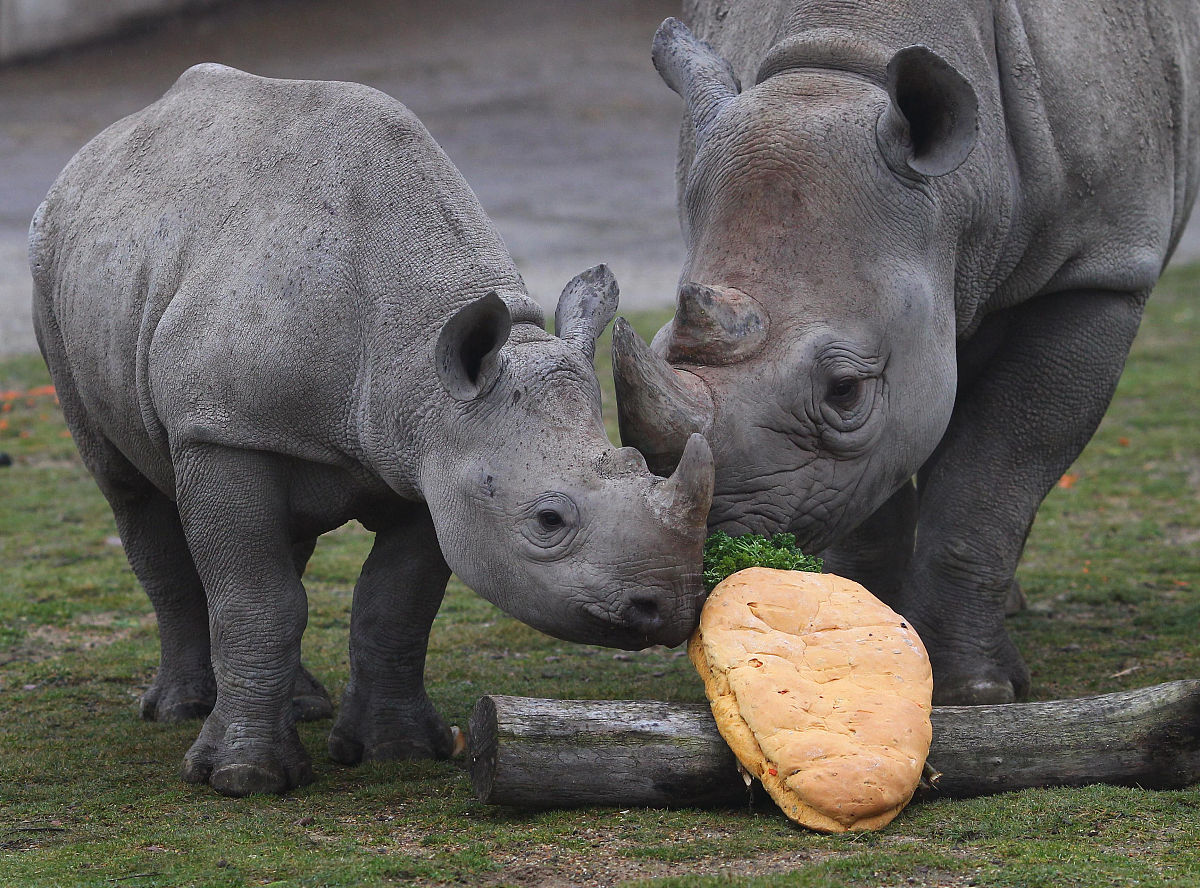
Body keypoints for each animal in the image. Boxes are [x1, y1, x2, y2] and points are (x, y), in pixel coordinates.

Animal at [30, 64, 710, 796]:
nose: (668, 607)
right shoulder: (220, 430)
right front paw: (242, 777)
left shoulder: (435, 460)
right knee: (131, 492)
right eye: (549, 520)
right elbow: (256, 600)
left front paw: (398, 750)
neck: (417, 359)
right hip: (51, 266)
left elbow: (395, 604)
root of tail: (98, 149)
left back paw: (302, 703)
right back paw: (180, 709)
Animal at [619, 3, 1200, 705]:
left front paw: (971, 690)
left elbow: (998, 467)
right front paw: (869, 641)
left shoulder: (1099, 268)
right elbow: (873, 490)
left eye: (846, 391)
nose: (714, 545)